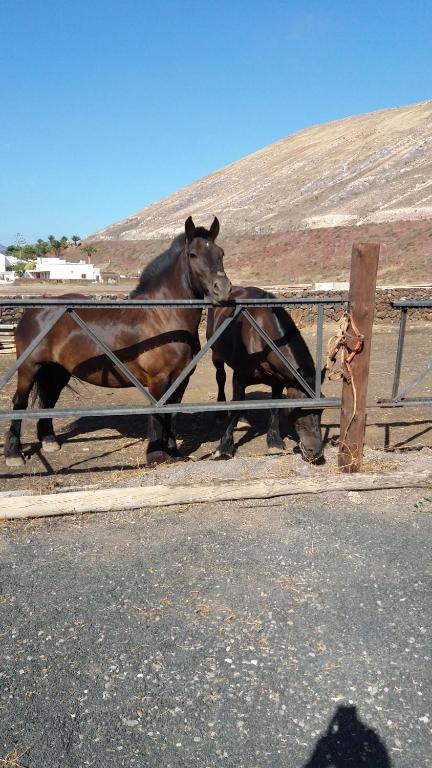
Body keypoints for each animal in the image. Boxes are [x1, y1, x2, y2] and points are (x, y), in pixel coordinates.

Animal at [4, 216, 232, 467]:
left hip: (57, 370)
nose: (222, 289)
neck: (162, 316)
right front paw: (156, 455)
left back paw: (49, 441)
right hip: (29, 367)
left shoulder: (180, 379)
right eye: (193, 254)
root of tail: (32, 311)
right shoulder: (158, 380)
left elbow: (170, 415)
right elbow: (158, 415)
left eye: (220, 253)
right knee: (19, 403)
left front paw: (174, 453)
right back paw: (14, 454)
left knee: (49, 399)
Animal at [206, 286, 324, 462]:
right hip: (216, 354)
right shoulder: (239, 377)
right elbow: (235, 406)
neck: (262, 338)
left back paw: (243, 418)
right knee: (220, 378)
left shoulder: (279, 381)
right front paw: (224, 446)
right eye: (299, 409)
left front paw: (274, 441)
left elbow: (274, 408)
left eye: (322, 410)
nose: (316, 452)